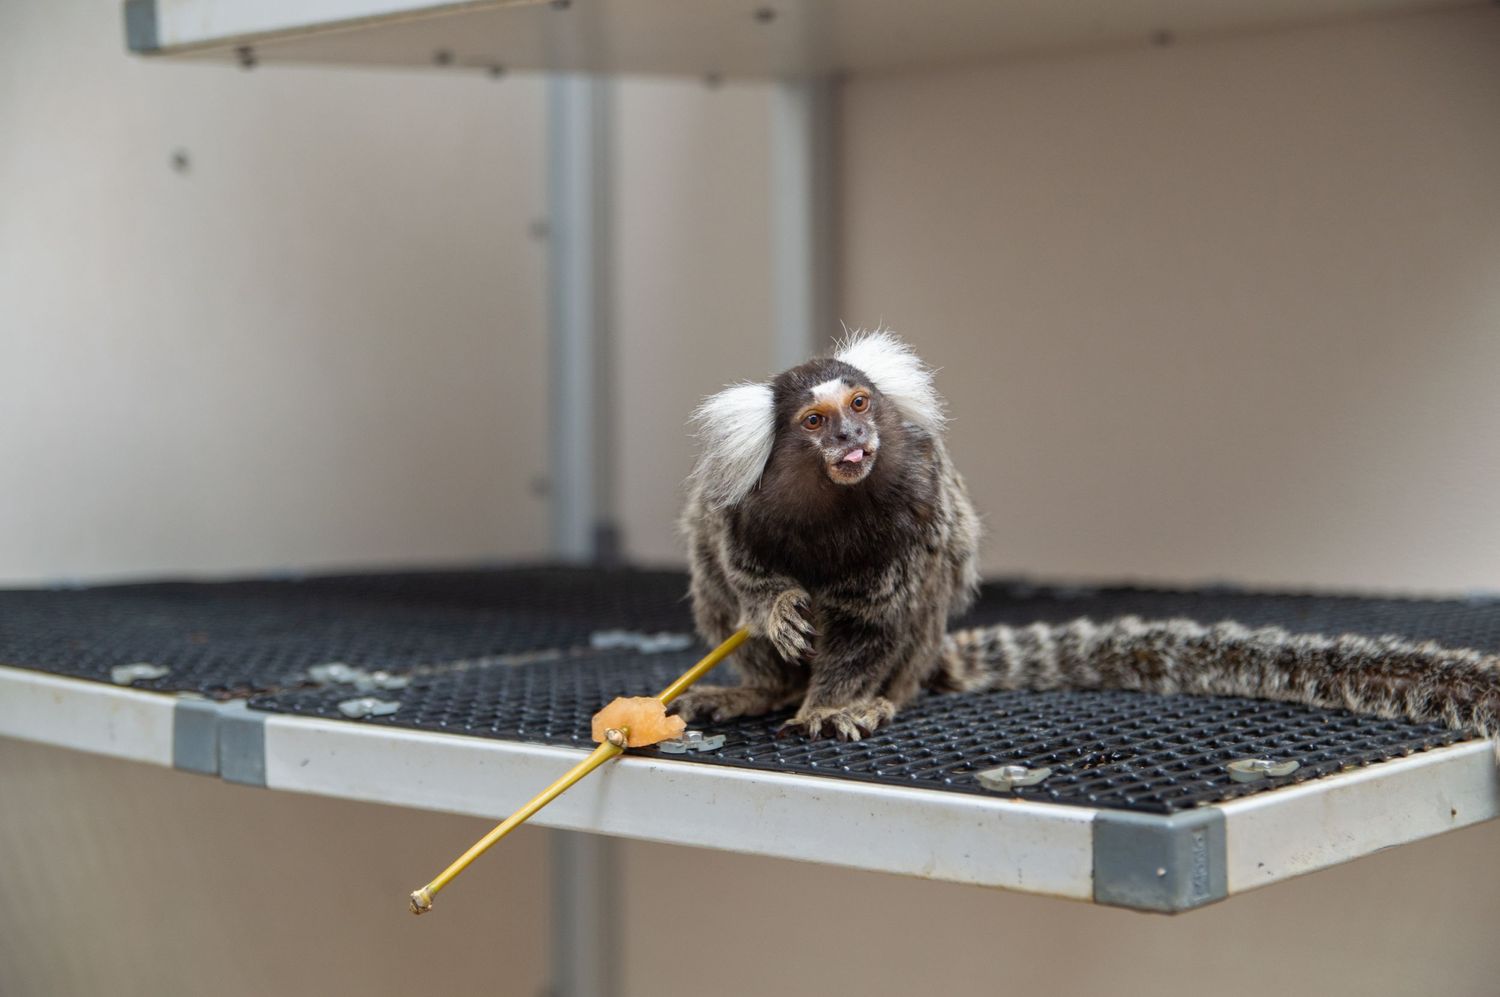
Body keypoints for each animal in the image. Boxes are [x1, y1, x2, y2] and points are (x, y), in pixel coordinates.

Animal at [676, 330, 1500, 745]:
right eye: (815, 421)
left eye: (858, 404)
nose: (851, 439)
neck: (835, 502)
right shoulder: (739, 503)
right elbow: (737, 564)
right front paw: (775, 608)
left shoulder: (915, 499)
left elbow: (872, 620)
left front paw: (836, 703)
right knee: (715, 581)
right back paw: (763, 689)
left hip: (921, 644)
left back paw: (878, 696)